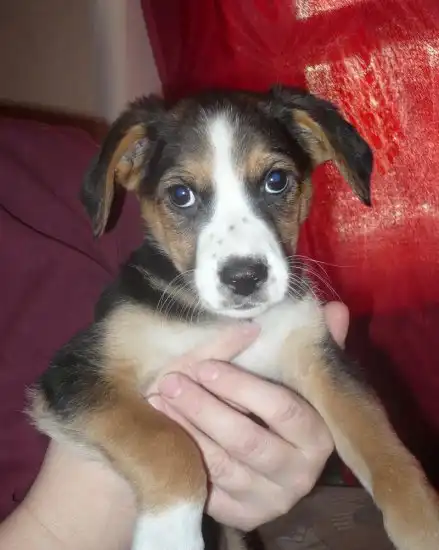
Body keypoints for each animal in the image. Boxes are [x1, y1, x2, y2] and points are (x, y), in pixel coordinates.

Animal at [30, 86, 439, 550]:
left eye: (276, 181)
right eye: (181, 195)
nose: (245, 277)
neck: (221, 319)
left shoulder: (319, 359)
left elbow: (382, 445)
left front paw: (424, 526)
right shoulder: (78, 375)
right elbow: (167, 443)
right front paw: (170, 535)